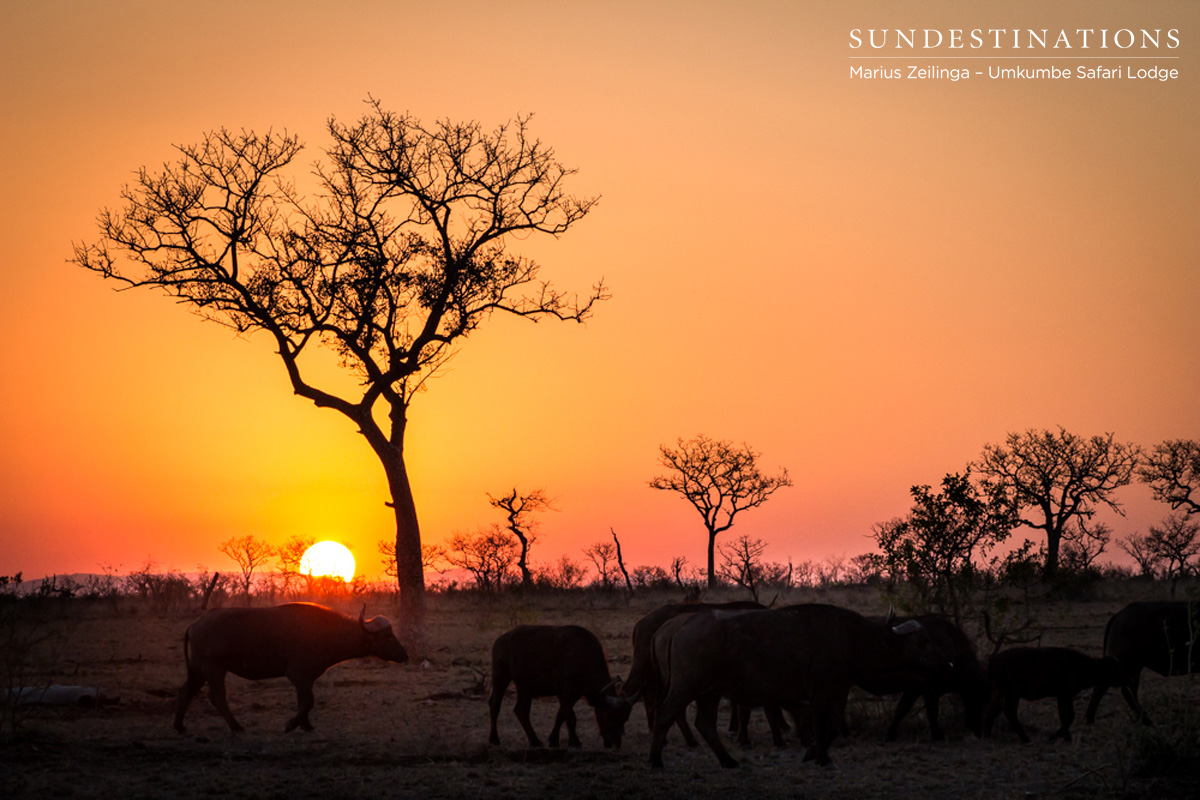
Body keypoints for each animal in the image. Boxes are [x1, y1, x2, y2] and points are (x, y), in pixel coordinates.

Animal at [174, 602, 408, 733]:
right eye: (388, 636)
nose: (404, 655)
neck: (326, 632)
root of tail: (195, 624)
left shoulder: (305, 679)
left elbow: (303, 701)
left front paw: (306, 726)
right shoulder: (298, 675)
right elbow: (309, 701)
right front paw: (291, 725)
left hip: (199, 671)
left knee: (185, 692)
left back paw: (180, 727)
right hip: (213, 669)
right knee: (217, 697)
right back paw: (236, 727)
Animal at [488, 625, 634, 749]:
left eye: (624, 719)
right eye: (611, 715)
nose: (615, 743)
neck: (583, 656)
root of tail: (499, 641)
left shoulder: (574, 694)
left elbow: (562, 715)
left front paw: (555, 740)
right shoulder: (565, 693)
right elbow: (569, 716)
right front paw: (574, 742)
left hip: (525, 688)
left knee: (521, 710)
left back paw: (535, 741)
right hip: (501, 677)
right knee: (495, 705)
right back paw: (494, 739)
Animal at [648, 604, 952, 768]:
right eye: (923, 642)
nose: (947, 663)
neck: (853, 638)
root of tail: (678, 625)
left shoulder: (837, 692)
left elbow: (833, 727)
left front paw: (813, 753)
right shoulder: (822, 694)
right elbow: (824, 726)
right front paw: (820, 756)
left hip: (709, 692)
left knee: (705, 723)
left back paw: (728, 761)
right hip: (686, 687)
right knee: (665, 715)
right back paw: (655, 761)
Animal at [984, 646, 1126, 743]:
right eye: (1115, 668)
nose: (1122, 680)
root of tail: (994, 660)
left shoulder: (1064, 696)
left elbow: (1067, 716)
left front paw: (1065, 736)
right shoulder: (1065, 695)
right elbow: (1068, 716)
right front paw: (1057, 736)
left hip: (1003, 694)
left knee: (993, 710)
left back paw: (987, 734)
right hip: (1012, 694)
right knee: (1008, 712)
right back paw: (1025, 738)